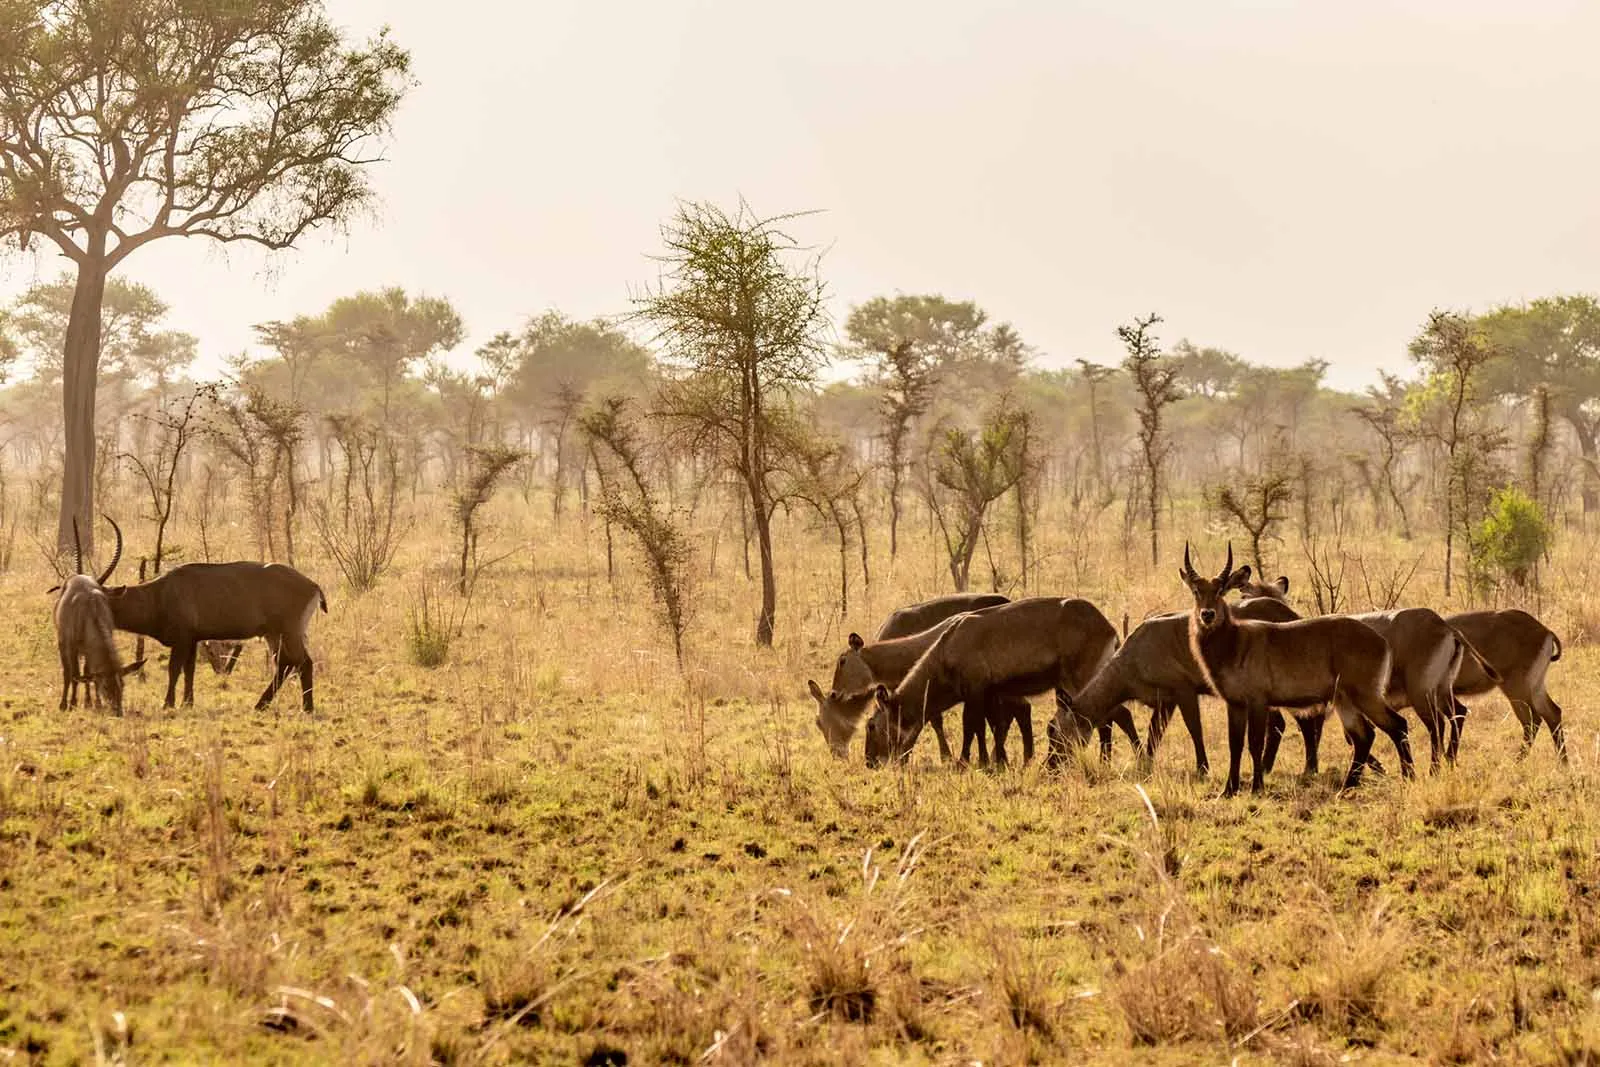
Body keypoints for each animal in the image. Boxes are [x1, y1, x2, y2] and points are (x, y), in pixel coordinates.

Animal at [96, 521, 328, 713]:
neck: (159, 594)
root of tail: (313, 585)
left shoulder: (182, 639)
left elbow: (174, 669)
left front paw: (168, 704)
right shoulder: (192, 639)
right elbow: (189, 670)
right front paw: (187, 703)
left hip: (288, 631)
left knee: (303, 662)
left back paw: (306, 708)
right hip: (273, 634)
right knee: (285, 663)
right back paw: (261, 705)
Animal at [864, 601, 1139, 767]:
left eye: (870, 726)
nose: (869, 762)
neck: (945, 650)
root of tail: (1108, 627)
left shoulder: (975, 690)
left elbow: (971, 725)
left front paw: (966, 761)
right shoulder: (987, 692)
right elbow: (988, 726)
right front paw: (994, 761)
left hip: (1081, 679)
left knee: (1114, 715)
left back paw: (1116, 759)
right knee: (1111, 716)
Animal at [1177, 547, 1414, 796]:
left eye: (1220, 590)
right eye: (1196, 591)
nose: (1207, 615)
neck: (1234, 642)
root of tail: (1382, 641)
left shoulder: (1258, 701)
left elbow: (1255, 743)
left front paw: (1257, 787)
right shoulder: (1235, 703)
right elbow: (1235, 745)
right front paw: (1228, 791)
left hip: (1365, 695)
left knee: (1397, 725)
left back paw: (1408, 777)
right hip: (1344, 700)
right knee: (1364, 736)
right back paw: (1347, 786)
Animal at [1446, 607, 1568, 758]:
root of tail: (1546, 631)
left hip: (1516, 688)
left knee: (1532, 720)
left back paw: (1517, 760)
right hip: (1534, 686)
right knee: (1552, 713)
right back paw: (1562, 762)